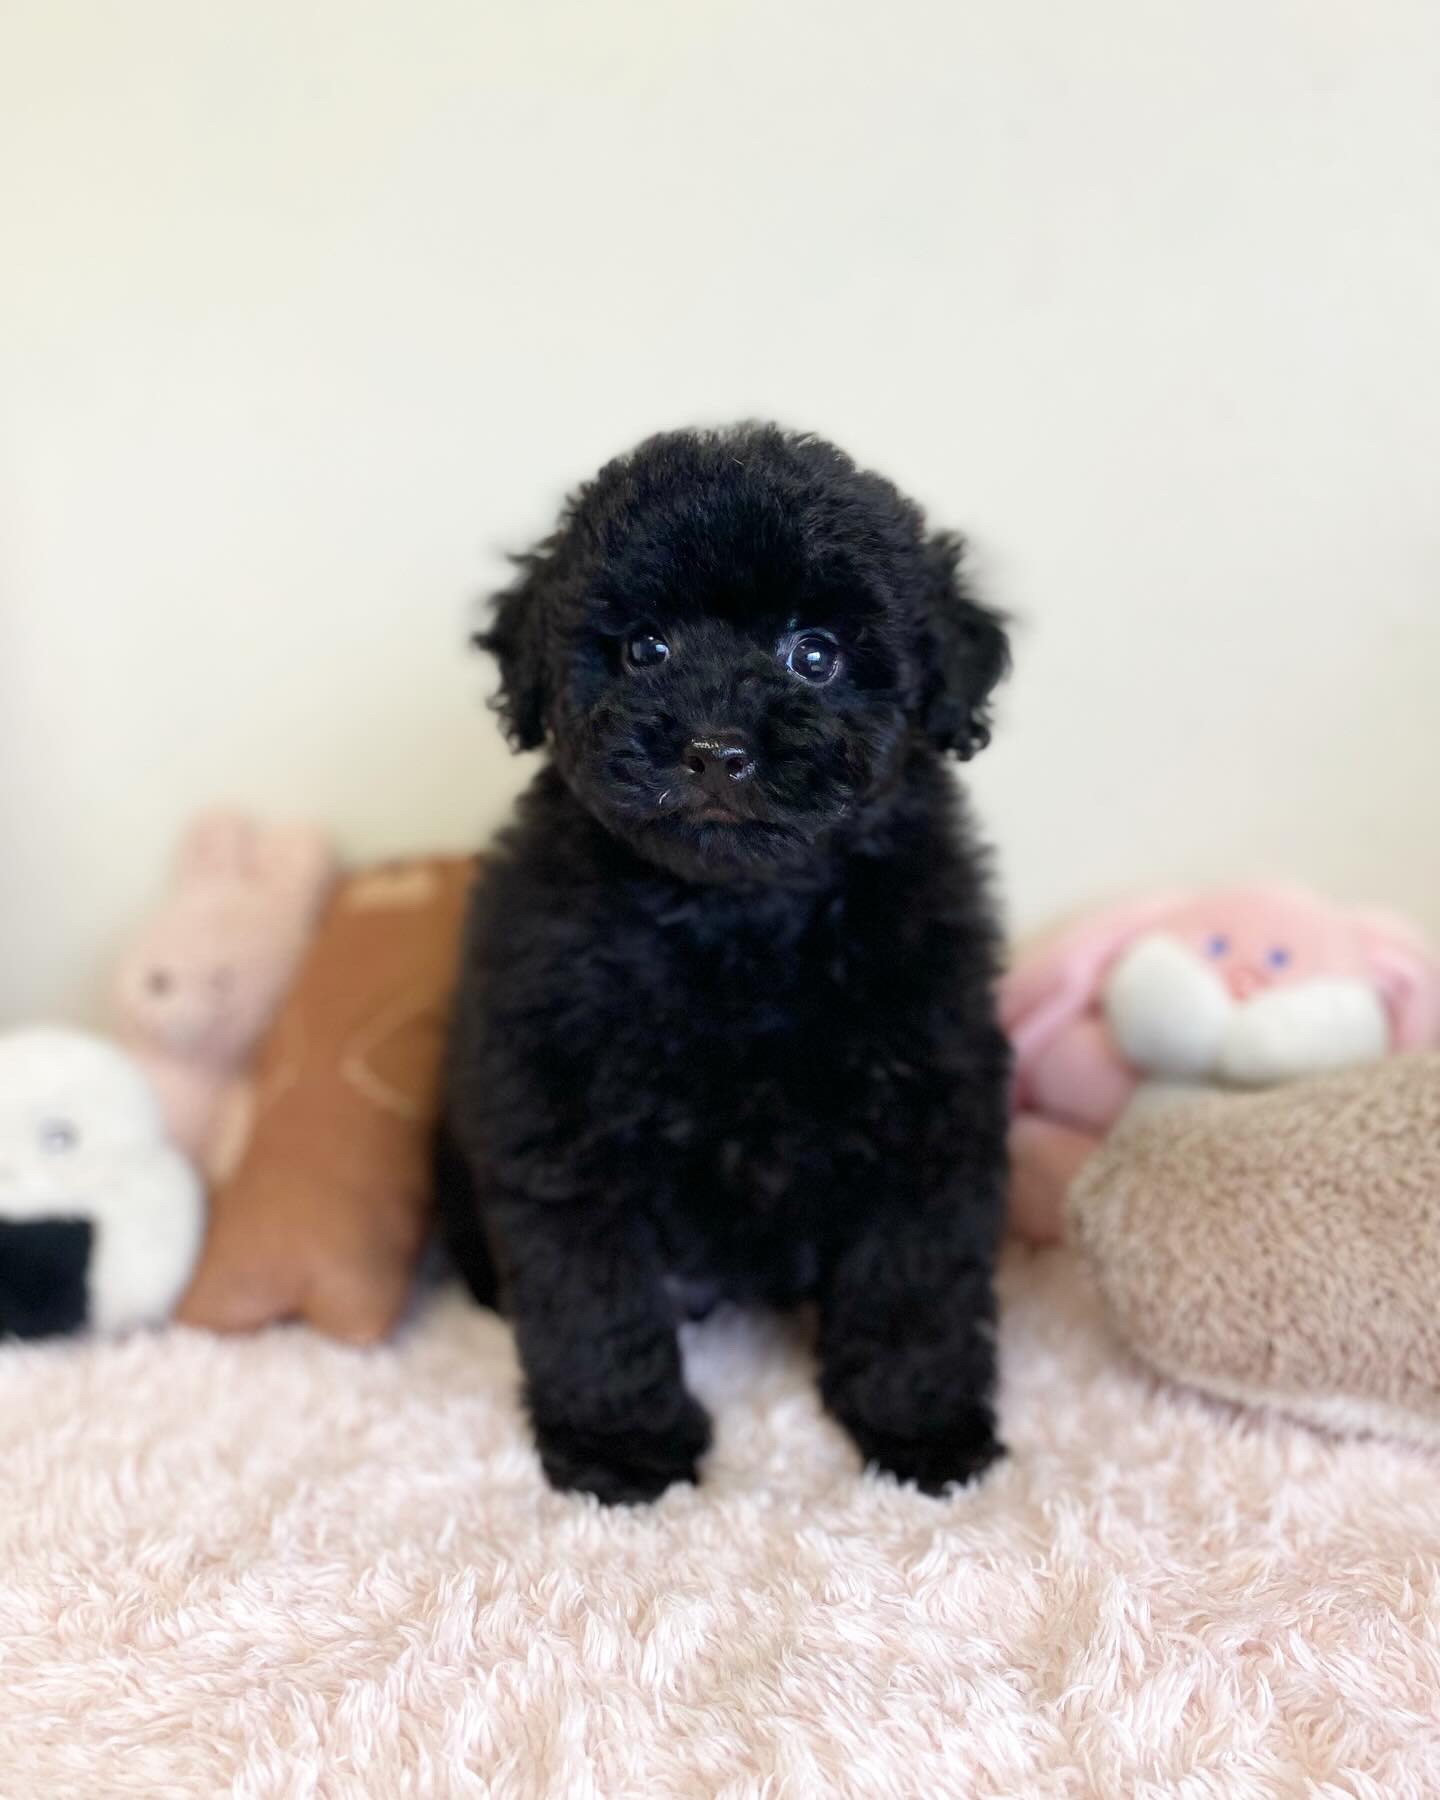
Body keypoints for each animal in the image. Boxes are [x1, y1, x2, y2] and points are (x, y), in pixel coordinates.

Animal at [437, 424, 1013, 1504]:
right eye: (644, 649)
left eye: (815, 654)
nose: (714, 749)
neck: (737, 916)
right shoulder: (559, 1102)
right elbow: (594, 1291)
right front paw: (621, 1450)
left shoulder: (929, 1090)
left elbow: (914, 1278)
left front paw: (921, 1429)